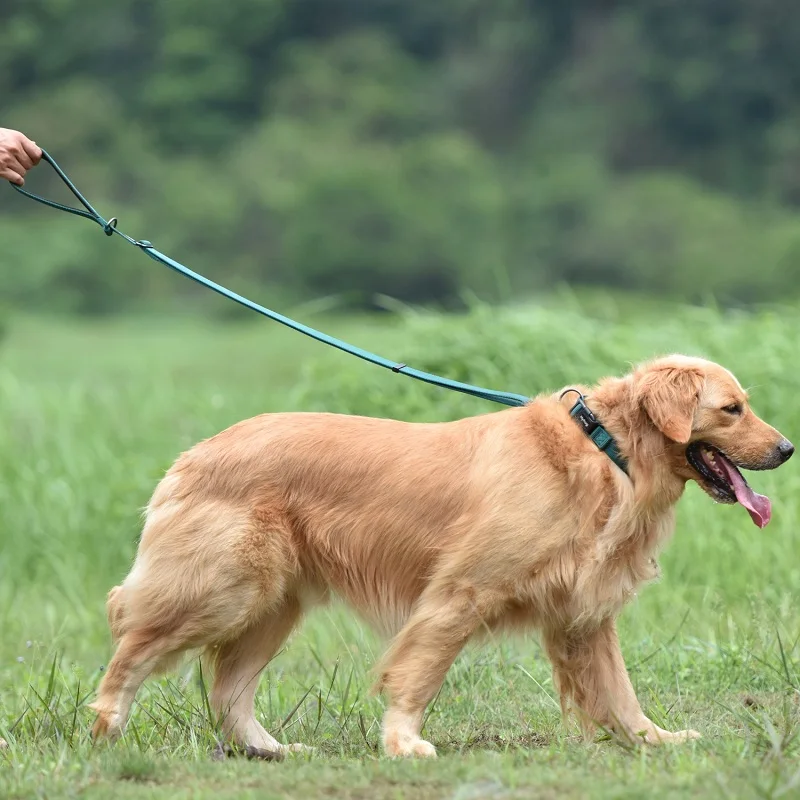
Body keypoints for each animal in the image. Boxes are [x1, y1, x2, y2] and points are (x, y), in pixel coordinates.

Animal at [90, 354, 792, 756]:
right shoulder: (460, 593)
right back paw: (105, 727)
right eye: (732, 409)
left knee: (228, 690)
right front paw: (403, 741)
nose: (788, 449)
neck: (606, 448)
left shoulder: (583, 615)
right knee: (130, 639)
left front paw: (656, 740)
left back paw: (270, 750)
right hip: (224, 590)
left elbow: (620, 693)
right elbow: (419, 674)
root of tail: (194, 452)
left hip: (271, 606)